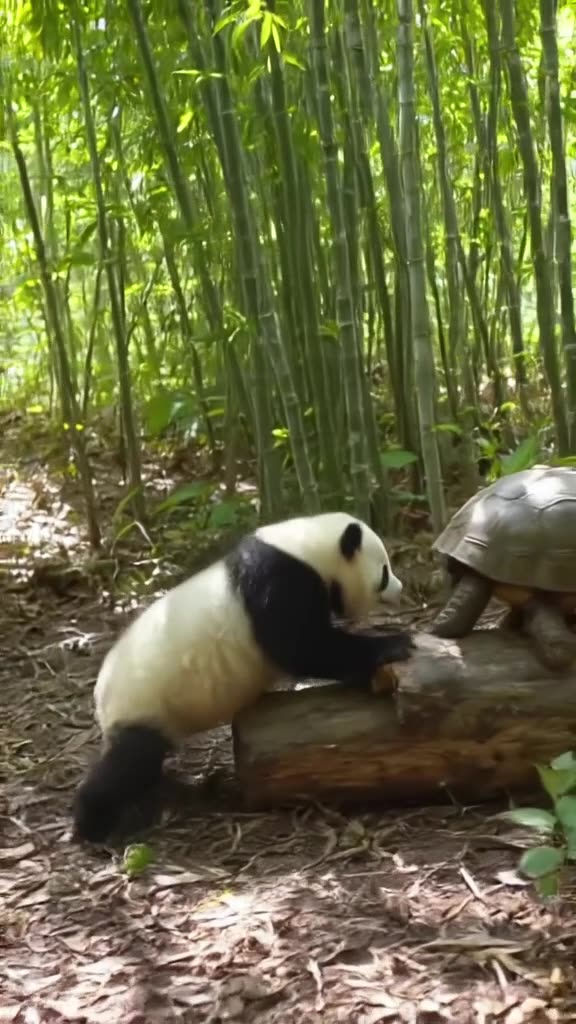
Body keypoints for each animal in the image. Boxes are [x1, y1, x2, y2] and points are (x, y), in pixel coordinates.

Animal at [72, 511, 413, 843]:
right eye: (384, 571)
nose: (400, 589)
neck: (307, 547)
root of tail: (101, 697)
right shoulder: (280, 583)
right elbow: (304, 646)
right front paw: (393, 644)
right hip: (143, 703)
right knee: (129, 762)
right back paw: (92, 824)